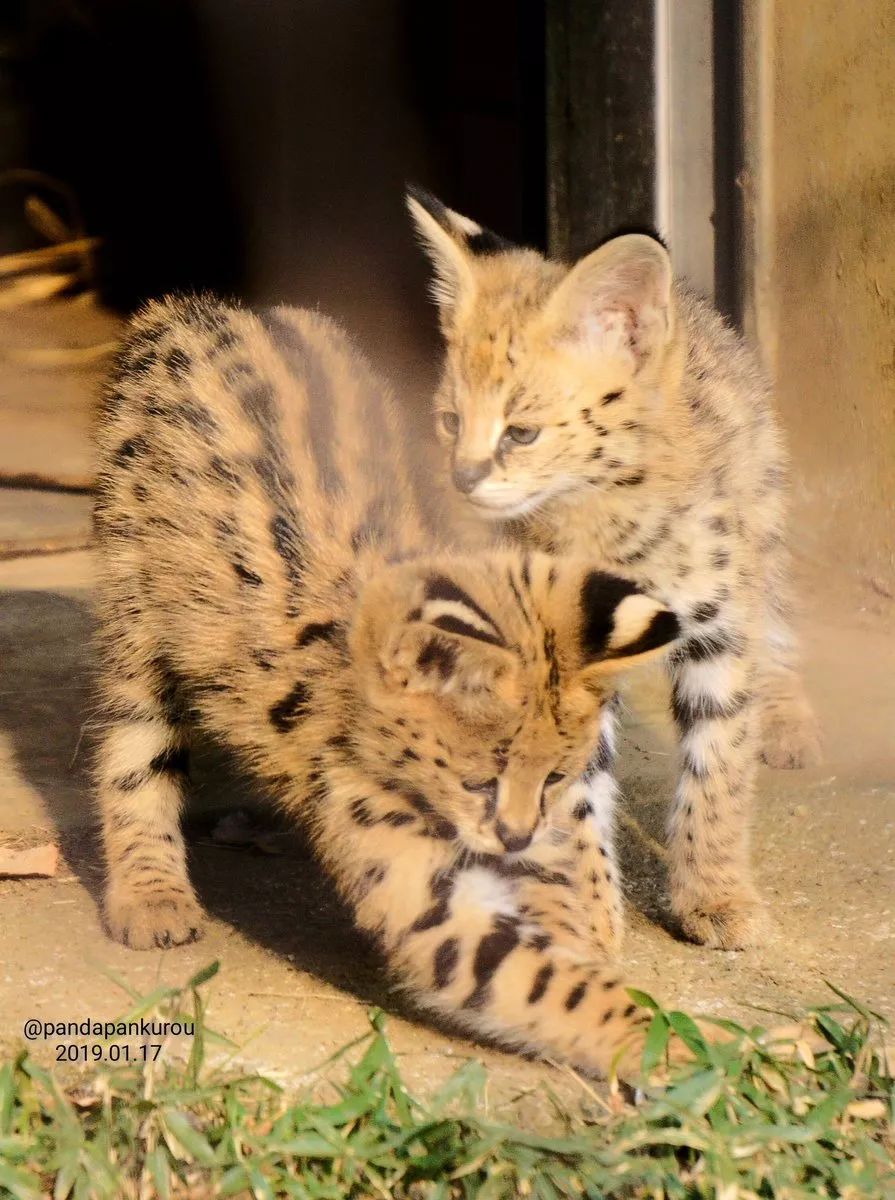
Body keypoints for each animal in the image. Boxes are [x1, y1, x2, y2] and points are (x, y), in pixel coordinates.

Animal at [90, 292, 681, 1080]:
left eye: (555, 776)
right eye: (479, 778)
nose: (515, 834)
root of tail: (197, 308)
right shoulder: (416, 879)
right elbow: (546, 983)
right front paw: (674, 1049)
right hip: (135, 612)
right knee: (132, 753)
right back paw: (151, 893)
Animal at [407, 189, 820, 955]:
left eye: (521, 432)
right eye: (451, 422)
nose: (463, 479)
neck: (604, 512)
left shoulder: (720, 626)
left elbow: (718, 761)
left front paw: (715, 894)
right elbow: (567, 789)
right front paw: (582, 914)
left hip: (763, 514)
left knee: (772, 613)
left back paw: (783, 717)